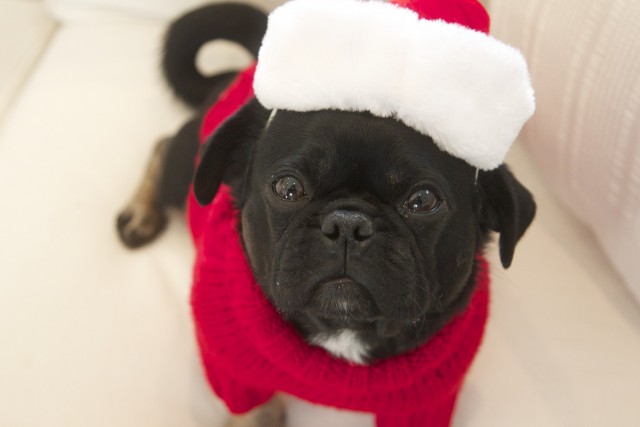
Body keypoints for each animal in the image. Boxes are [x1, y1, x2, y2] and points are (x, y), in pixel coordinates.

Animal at [116, 2, 536, 424]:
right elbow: (253, 412)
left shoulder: (427, 404)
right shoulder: (235, 374)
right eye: (288, 188)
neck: (344, 332)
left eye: (423, 201)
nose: (348, 224)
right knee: (164, 147)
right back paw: (140, 215)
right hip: (186, 170)